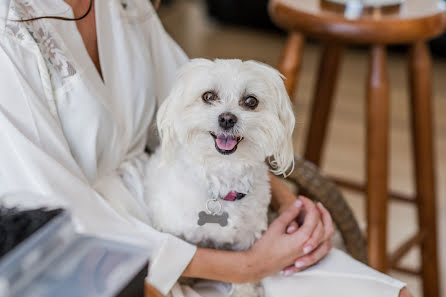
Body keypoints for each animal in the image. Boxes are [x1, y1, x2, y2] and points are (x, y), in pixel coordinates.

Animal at [145, 58, 294, 296]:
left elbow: (245, 274)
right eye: (208, 96)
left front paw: (245, 292)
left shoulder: (246, 238)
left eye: (251, 101)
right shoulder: (174, 229)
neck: (223, 178)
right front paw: (185, 280)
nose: (226, 119)